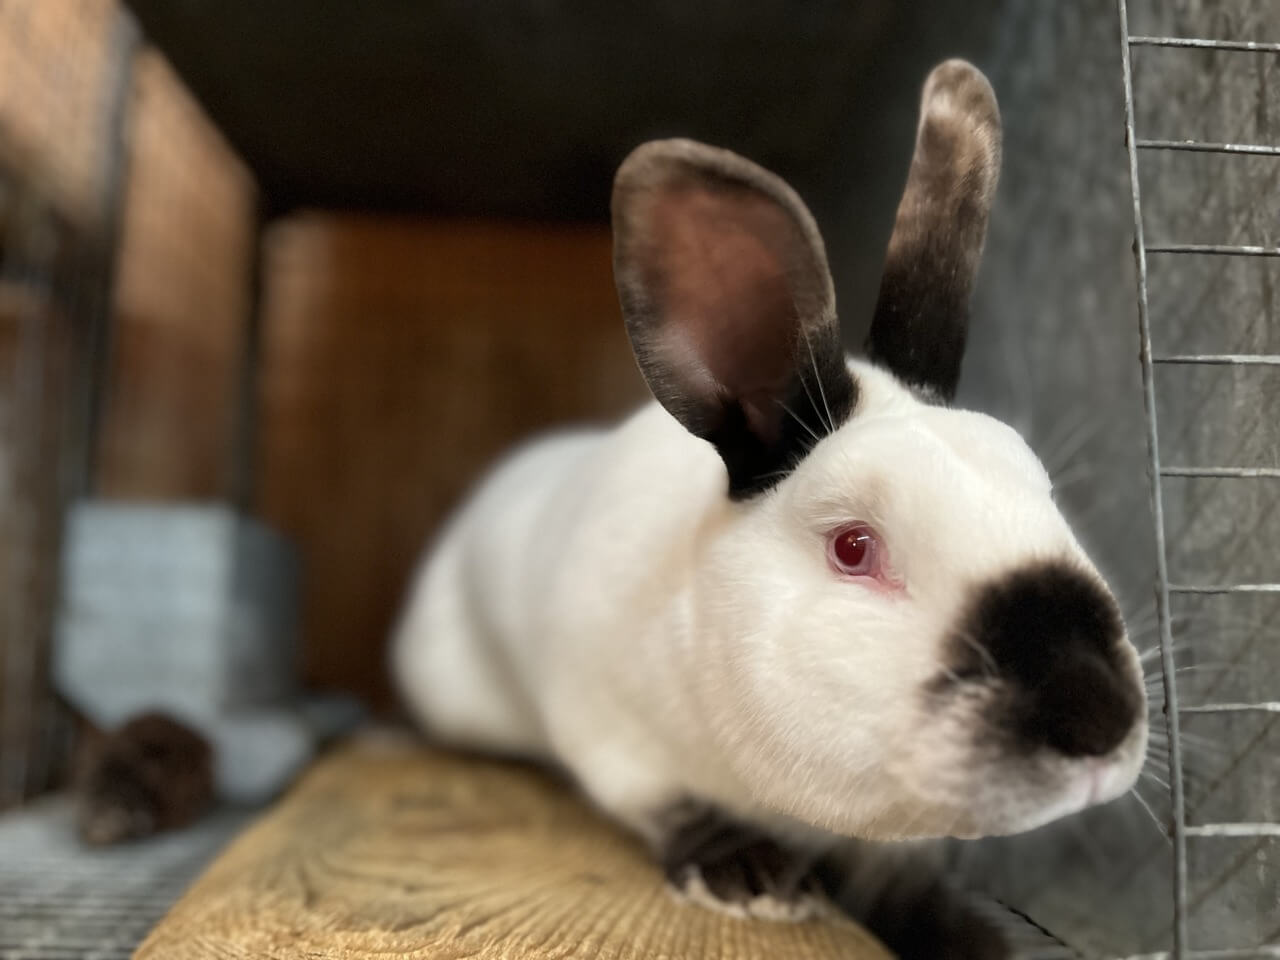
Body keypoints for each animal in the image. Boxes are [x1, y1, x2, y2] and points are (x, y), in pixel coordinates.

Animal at [392, 59, 1147, 956]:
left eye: (1045, 492)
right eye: (854, 546)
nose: (1100, 717)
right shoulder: (604, 722)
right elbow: (658, 800)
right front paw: (746, 876)